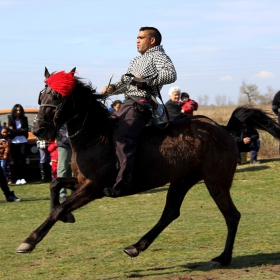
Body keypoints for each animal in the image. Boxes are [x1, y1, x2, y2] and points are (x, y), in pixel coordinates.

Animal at [17, 68, 280, 266]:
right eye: (42, 95)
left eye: (59, 97)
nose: (39, 129)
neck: (94, 136)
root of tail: (224, 129)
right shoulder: (82, 182)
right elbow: (54, 184)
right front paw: (66, 216)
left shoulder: (93, 188)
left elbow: (58, 209)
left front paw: (30, 240)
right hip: (182, 180)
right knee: (170, 213)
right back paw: (136, 246)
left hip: (216, 182)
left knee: (231, 216)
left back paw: (223, 258)